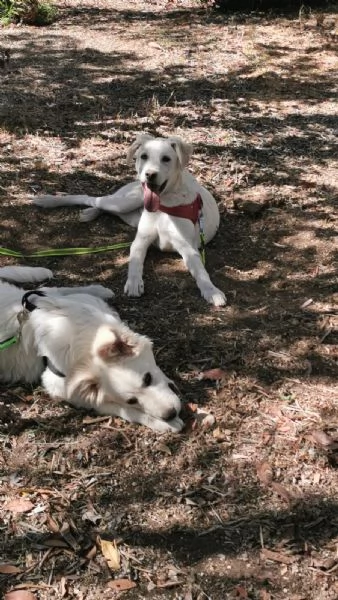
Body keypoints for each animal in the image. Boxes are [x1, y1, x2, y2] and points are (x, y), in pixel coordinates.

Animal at [0, 266, 184, 432]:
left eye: (147, 378)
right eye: (132, 401)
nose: (170, 414)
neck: (85, 346)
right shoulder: (62, 387)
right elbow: (122, 410)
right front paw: (165, 424)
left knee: (47, 290)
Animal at [33, 134, 226, 308]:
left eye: (166, 159)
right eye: (144, 156)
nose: (149, 174)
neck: (164, 205)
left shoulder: (188, 248)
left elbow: (201, 272)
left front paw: (212, 291)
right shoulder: (141, 239)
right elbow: (135, 259)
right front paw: (134, 282)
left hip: (129, 214)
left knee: (103, 207)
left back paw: (89, 212)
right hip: (126, 202)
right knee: (91, 198)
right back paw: (50, 201)